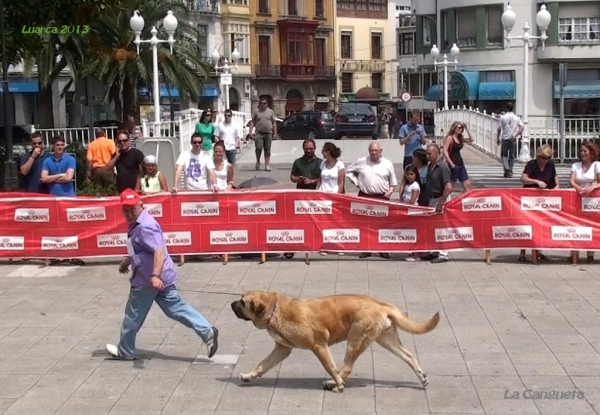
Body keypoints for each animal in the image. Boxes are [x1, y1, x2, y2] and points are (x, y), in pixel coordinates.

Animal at [231, 290, 440, 394]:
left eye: (242, 301)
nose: (231, 304)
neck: (275, 309)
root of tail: (382, 304)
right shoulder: (282, 349)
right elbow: (262, 364)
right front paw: (249, 376)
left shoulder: (319, 346)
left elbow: (330, 366)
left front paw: (338, 385)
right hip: (386, 340)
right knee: (409, 356)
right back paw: (421, 377)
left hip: (355, 340)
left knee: (346, 368)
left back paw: (333, 382)